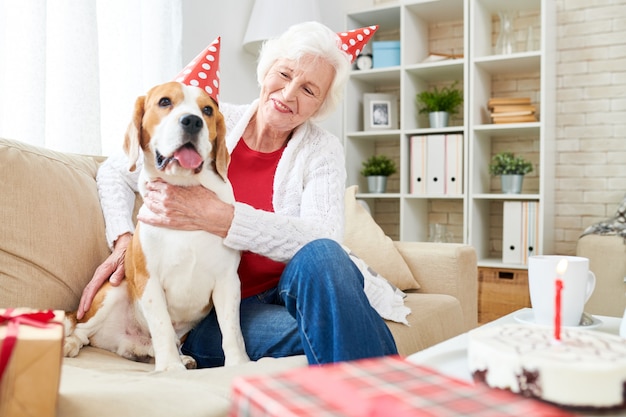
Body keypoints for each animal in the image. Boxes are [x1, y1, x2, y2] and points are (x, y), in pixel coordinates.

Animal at [64, 81, 249, 370]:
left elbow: (231, 331)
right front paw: (170, 368)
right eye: (164, 102)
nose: (193, 121)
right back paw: (71, 344)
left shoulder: (227, 282)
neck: (185, 191)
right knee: (81, 331)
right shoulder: (148, 280)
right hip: (114, 290)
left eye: (207, 110)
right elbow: (161, 326)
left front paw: (238, 364)